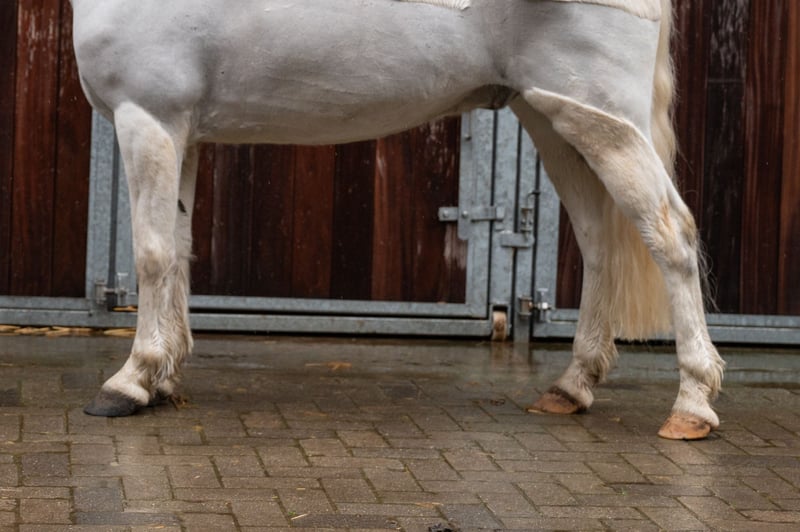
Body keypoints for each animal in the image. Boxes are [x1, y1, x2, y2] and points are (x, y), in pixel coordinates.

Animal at [70, 0, 725, 439]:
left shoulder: (148, 116)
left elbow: (152, 254)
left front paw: (131, 380)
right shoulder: (181, 130)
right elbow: (178, 251)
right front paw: (163, 378)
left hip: (604, 118)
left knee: (671, 235)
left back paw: (691, 405)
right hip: (557, 118)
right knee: (599, 243)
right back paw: (571, 387)